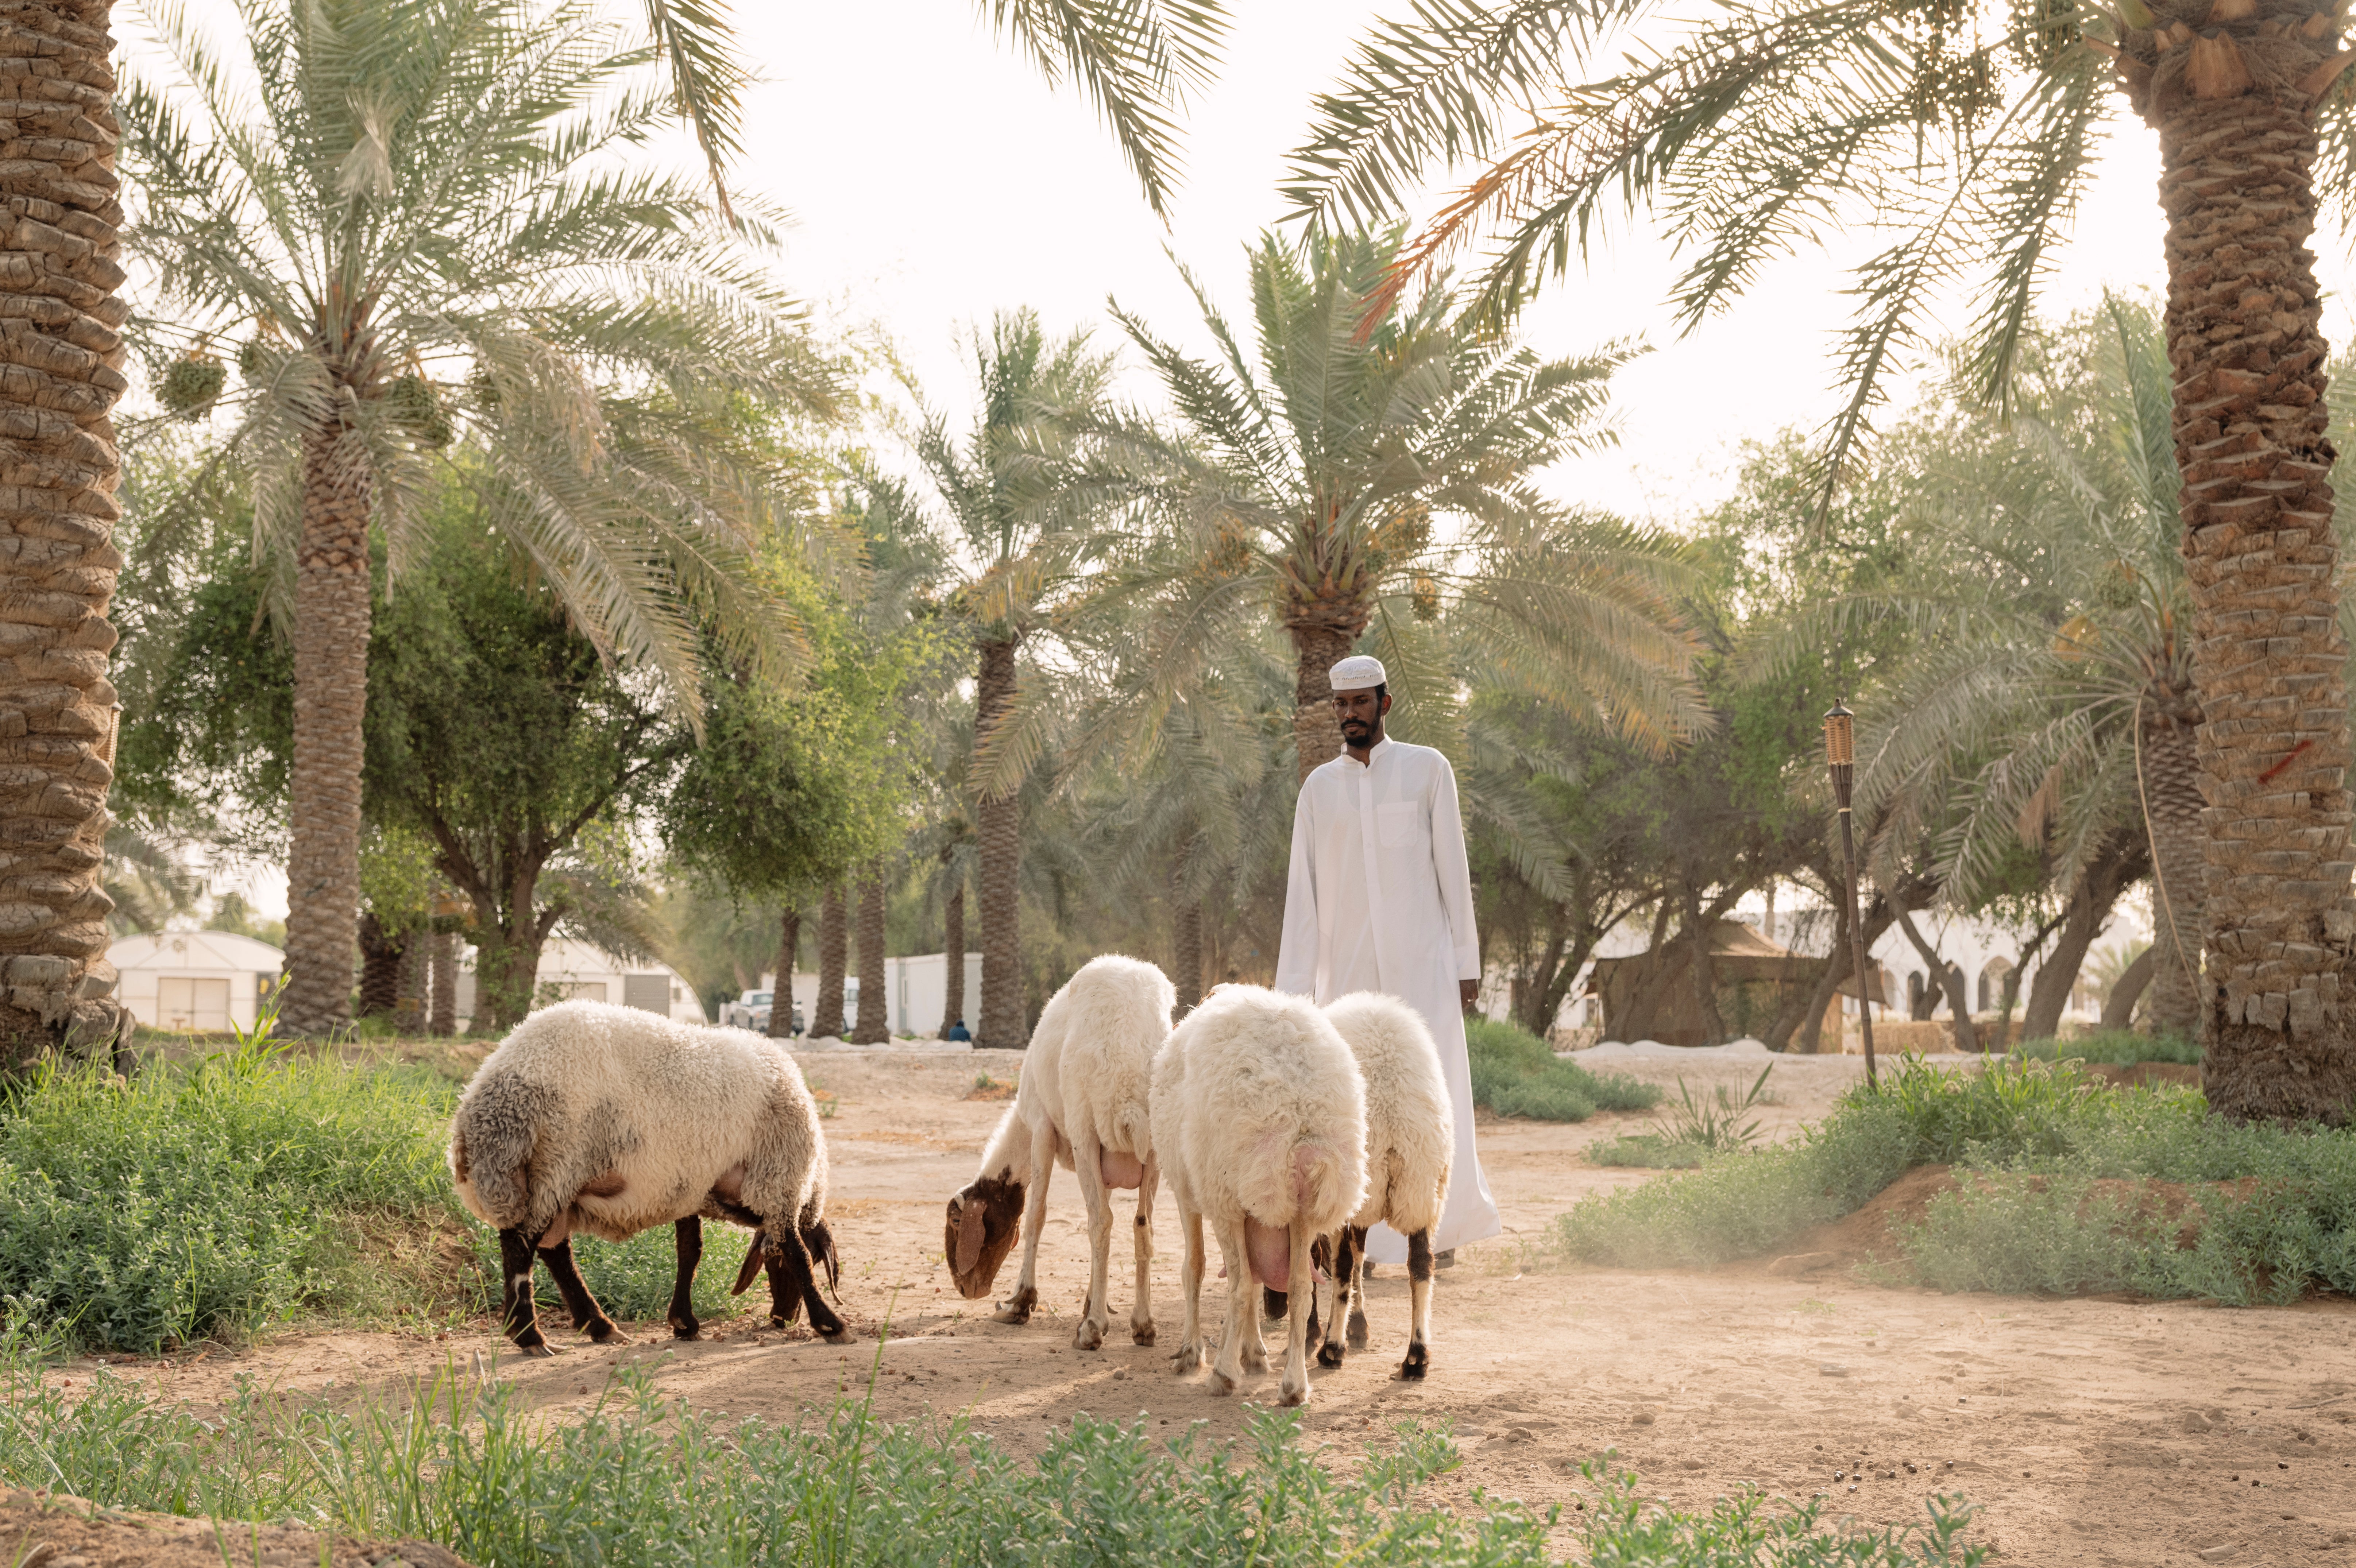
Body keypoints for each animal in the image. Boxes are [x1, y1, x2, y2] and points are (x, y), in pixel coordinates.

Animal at [445, 1003, 853, 1347]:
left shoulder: (690, 1184)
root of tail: (492, 1096)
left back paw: (599, 1326)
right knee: (521, 1245)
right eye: (772, 1263)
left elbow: (690, 1250)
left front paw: (683, 1322)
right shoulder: (779, 1180)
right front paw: (830, 1323)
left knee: (553, 1250)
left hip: (548, 1179)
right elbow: (796, 1250)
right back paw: (529, 1335)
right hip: (555, 1164)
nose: (783, 1318)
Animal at [942, 946, 1173, 1347]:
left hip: (1084, 1130)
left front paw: (1021, 1302)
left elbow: (1036, 1215)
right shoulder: (1105, 1166)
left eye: (957, 1221)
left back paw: (1092, 1329)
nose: (964, 1288)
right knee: (1141, 1225)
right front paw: (1092, 1300)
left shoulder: (1041, 1128)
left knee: (1100, 1221)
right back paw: (1143, 1324)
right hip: (1151, 1148)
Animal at [1145, 979, 1366, 1403]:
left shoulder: (1189, 1193)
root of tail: (1301, 1109)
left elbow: (1195, 1267)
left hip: (1230, 1193)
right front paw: (1254, 1351)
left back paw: (1223, 1374)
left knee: (1240, 1285)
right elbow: (1263, 1275)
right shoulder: (1258, 1210)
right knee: (1299, 1290)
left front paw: (1192, 1352)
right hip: (1303, 1206)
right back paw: (1294, 1385)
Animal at [1319, 993, 1442, 1375]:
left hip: (1354, 1184)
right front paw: (1358, 1326)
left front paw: (1345, 1329)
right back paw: (1417, 1355)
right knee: (1422, 1265)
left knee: (1344, 1267)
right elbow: (1361, 1257)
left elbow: (1347, 1262)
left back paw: (1332, 1348)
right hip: (1422, 1185)